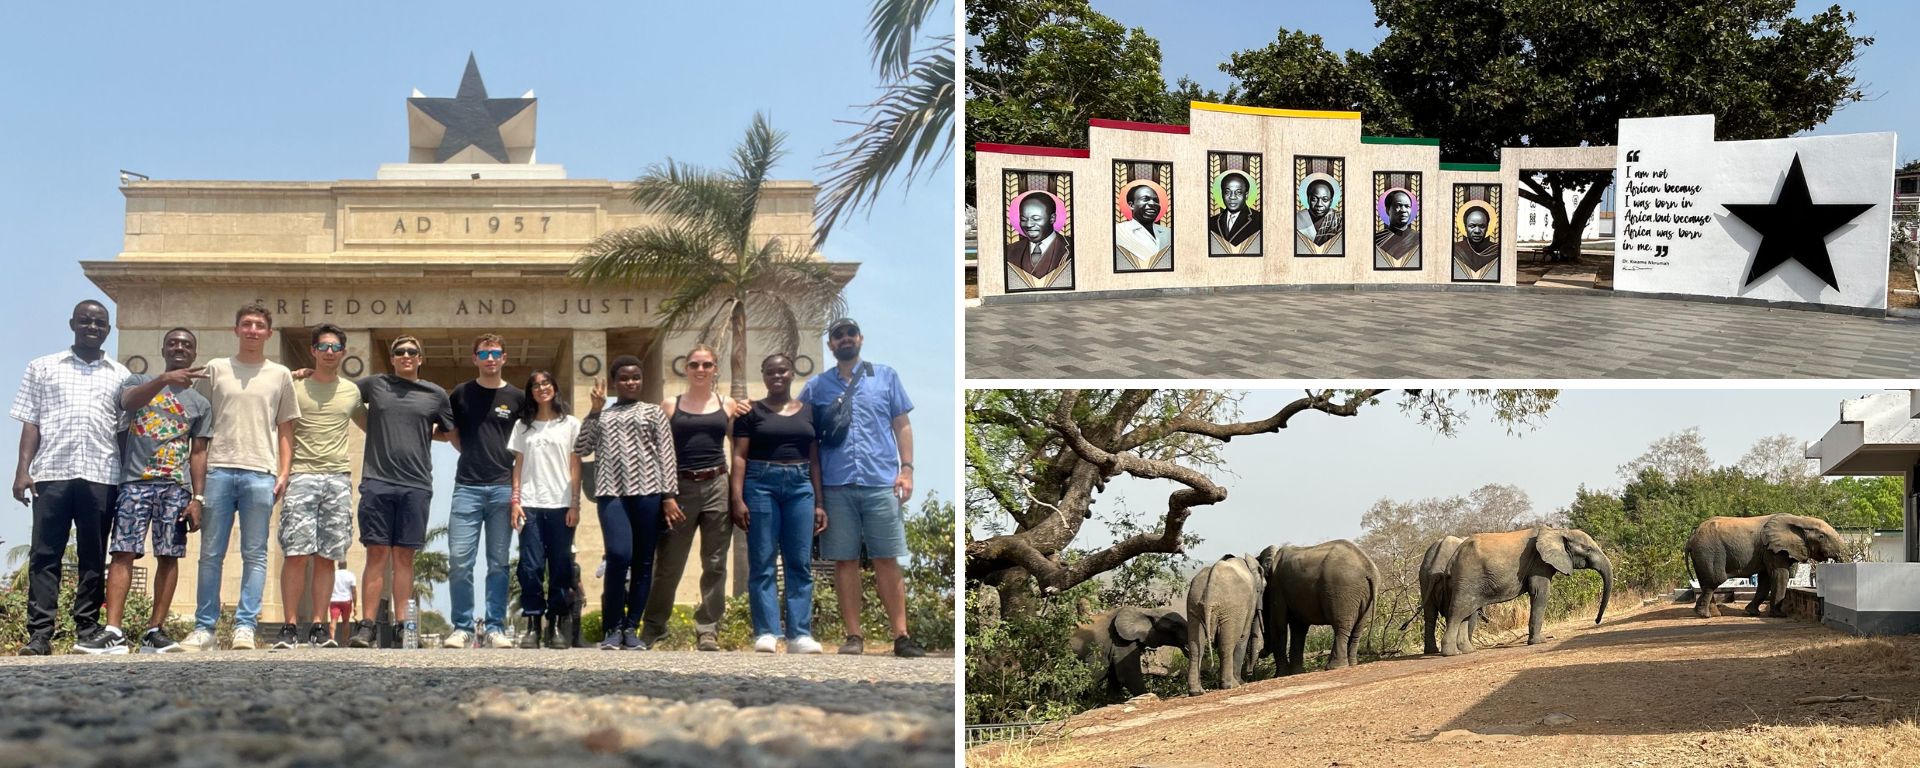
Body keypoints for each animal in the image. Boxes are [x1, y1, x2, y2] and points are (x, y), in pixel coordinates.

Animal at [1175, 552, 1267, 695]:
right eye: (1263, 589)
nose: (1250, 674)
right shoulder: (1250, 600)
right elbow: (1243, 636)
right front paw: (1241, 682)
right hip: (1231, 608)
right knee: (1227, 644)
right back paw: (1232, 685)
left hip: (1193, 603)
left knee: (1196, 647)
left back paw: (1197, 692)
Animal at [1259, 541, 1382, 672]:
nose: (1261, 653)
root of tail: (1369, 569)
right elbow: (1298, 628)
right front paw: (1296, 672)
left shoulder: (1277, 587)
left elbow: (1278, 625)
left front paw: (1281, 674)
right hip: (1364, 595)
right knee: (1357, 629)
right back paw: (1351, 664)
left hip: (1343, 591)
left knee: (1341, 627)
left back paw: (1334, 667)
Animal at [1443, 529, 1605, 652]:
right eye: (1588, 549)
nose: (1596, 621)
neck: (1558, 531)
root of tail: (1453, 557)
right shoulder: (1539, 563)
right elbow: (1541, 593)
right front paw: (1540, 642)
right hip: (1468, 579)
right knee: (1458, 612)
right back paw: (1452, 653)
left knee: (1467, 613)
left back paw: (1468, 651)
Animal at [1681, 514, 1843, 618]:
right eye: (1821, 537)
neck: (1799, 520)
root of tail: (1691, 538)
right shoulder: (1773, 549)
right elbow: (1779, 575)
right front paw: (1780, 615)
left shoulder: (1767, 551)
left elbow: (1765, 579)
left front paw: (1752, 613)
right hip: (1709, 552)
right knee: (1714, 581)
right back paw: (1705, 616)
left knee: (1707, 583)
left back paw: (1714, 614)